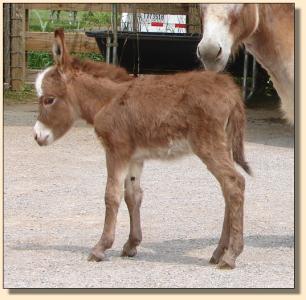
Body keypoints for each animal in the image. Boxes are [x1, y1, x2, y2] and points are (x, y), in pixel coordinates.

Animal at [32, 29, 251, 270]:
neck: (107, 100)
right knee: (228, 190)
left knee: (234, 183)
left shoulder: (115, 151)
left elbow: (111, 195)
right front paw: (131, 245)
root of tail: (230, 90)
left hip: (209, 146)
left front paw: (100, 248)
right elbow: (133, 195)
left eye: (49, 100)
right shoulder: (134, 157)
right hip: (223, 145)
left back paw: (231, 256)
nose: (37, 136)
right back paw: (219, 252)